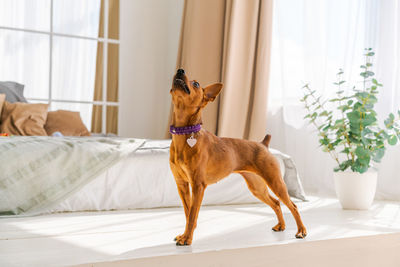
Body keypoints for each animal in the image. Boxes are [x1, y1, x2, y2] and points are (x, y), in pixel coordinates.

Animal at [169, 69, 306, 247]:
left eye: (196, 84)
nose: (180, 70)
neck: (184, 135)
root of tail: (263, 144)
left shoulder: (198, 186)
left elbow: (192, 214)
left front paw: (187, 238)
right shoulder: (182, 185)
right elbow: (188, 213)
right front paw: (185, 235)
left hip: (275, 182)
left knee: (293, 206)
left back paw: (301, 231)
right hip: (257, 187)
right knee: (276, 202)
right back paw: (281, 226)